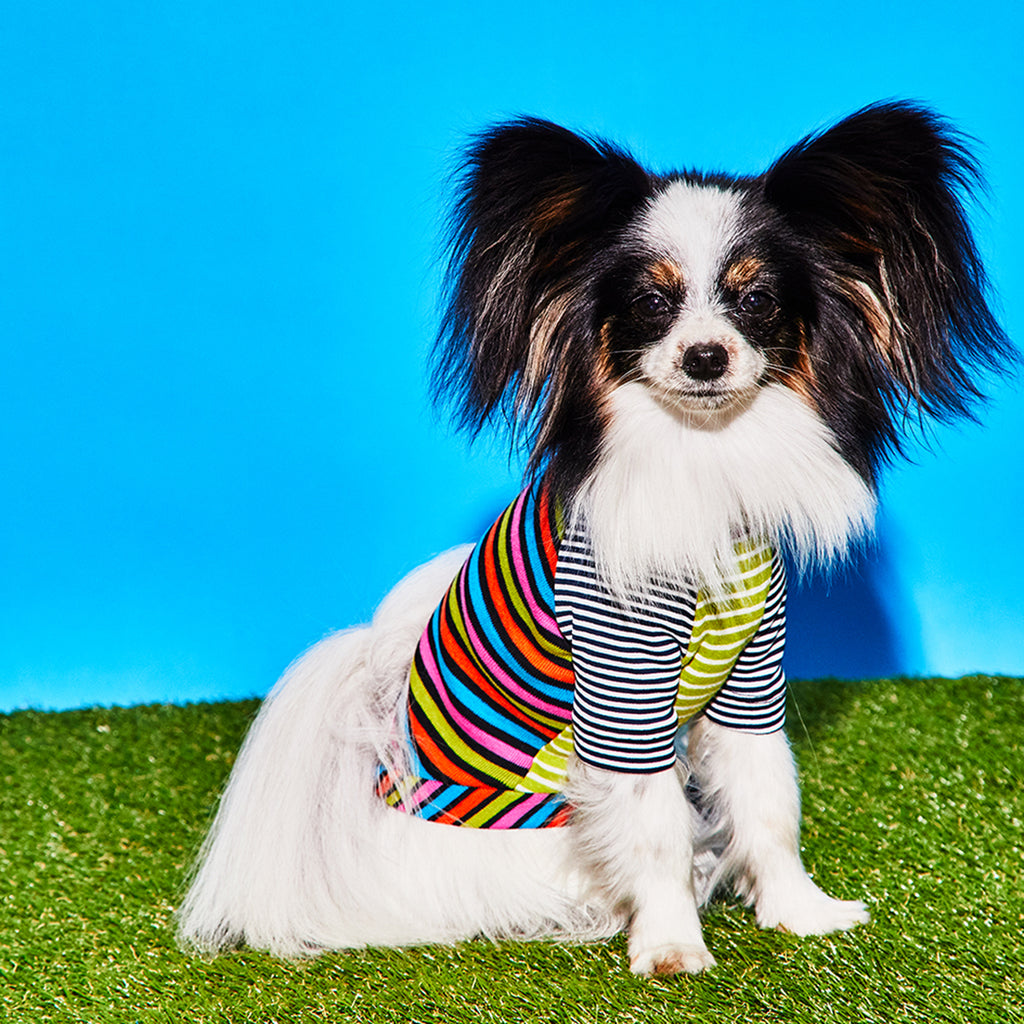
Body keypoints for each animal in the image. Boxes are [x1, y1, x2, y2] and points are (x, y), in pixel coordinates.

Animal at [176, 103, 1007, 974]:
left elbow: (769, 801)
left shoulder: (751, 680)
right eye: (649, 303)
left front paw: (796, 911)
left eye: (756, 301)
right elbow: (655, 826)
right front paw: (672, 943)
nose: (705, 356)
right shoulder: (621, 690)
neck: (699, 461)